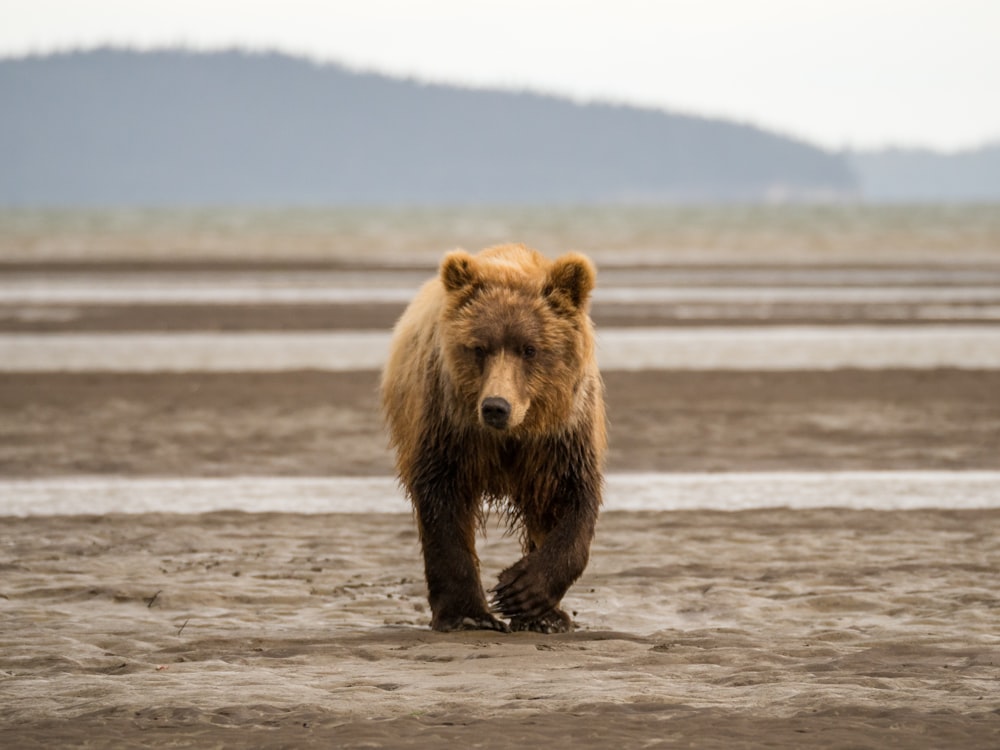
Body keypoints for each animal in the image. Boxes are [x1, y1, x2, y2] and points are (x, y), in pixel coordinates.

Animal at [378, 245, 604, 636]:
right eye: (479, 348)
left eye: (529, 349)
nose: (496, 406)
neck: (513, 433)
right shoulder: (450, 430)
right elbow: (443, 504)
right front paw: (468, 614)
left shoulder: (561, 437)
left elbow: (570, 499)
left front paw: (528, 598)